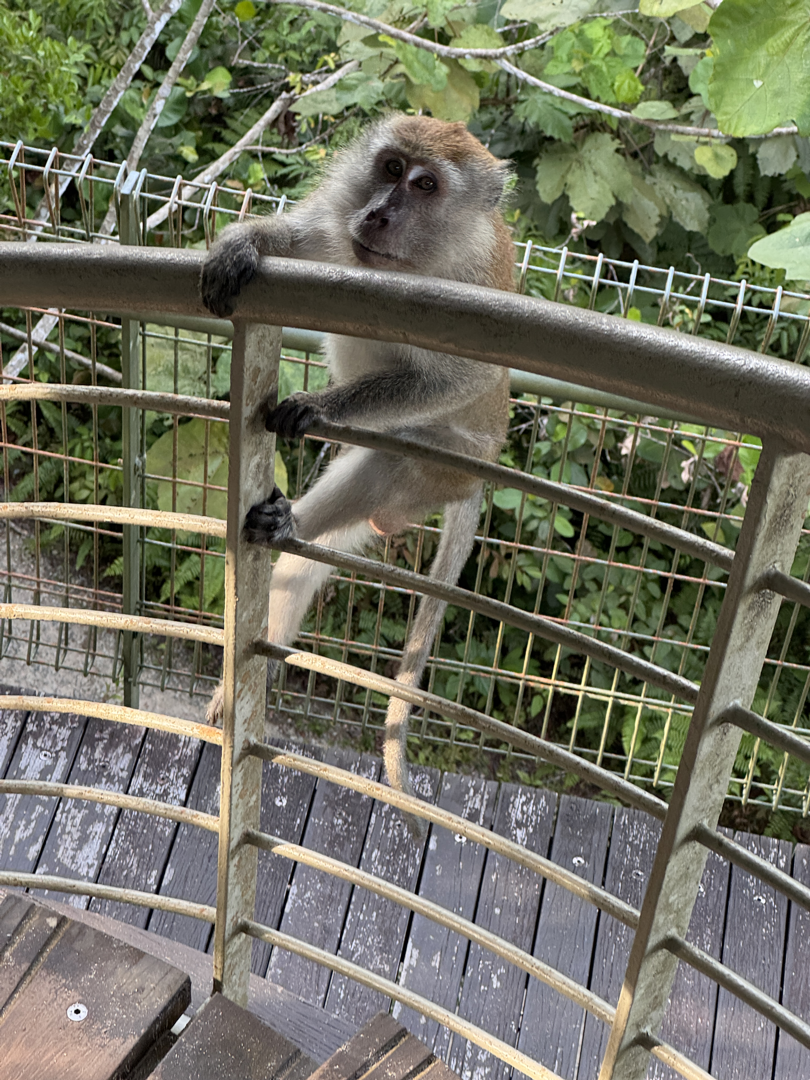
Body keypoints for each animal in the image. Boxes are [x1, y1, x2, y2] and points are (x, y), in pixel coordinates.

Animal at [200, 113, 515, 837]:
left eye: (426, 186)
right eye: (392, 167)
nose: (376, 213)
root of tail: (478, 478)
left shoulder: (465, 291)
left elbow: (461, 378)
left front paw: (322, 406)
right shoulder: (337, 230)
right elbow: (306, 242)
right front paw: (244, 243)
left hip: (428, 470)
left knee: (387, 461)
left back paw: (284, 526)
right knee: (304, 560)